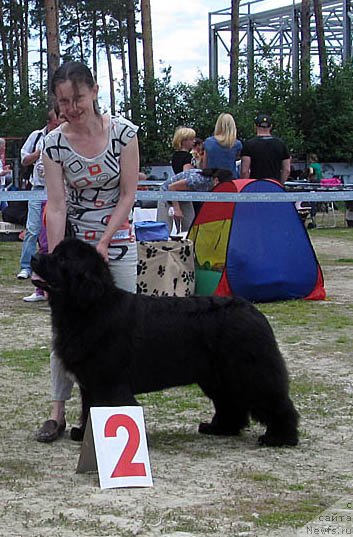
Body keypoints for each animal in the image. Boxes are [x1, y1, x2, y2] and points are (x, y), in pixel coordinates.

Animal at [31, 238, 298, 444]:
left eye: (62, 260)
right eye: (54, 253)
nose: (34, 257)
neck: (91, 308)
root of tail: (253, 311)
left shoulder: (109, 381)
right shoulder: (90, 382)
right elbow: (89, 409)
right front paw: (84, 433)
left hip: (250, 372)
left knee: (275, 402)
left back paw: (280, 438)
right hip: (218, 377)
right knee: (230, 403)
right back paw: (219, 429)